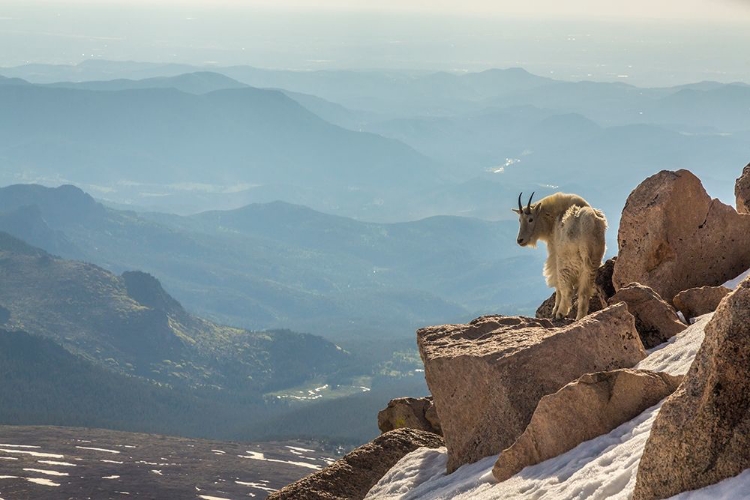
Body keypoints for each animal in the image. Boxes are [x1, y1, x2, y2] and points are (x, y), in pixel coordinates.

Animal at [516, 191, 608, 320]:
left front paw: (554, 310)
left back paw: (560, 313)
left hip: (567, 260)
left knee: (567, 289)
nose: (520, 240)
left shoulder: (554, 252)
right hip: (593, 261)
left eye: (530, 219)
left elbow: (557, 283)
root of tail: (587, 226)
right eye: (519, 219)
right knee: (584, 292)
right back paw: (580, 317)